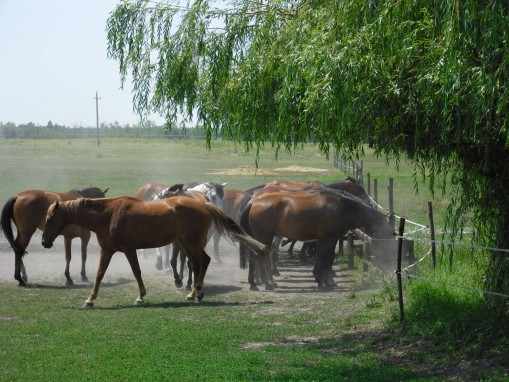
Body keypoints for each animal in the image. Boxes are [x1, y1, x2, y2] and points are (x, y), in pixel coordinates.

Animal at [41, 195, 264, 308]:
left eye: (50, 219)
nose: (44, 242)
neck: (108, 215)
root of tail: (202, 202)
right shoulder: (107, 250)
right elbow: (99, 275)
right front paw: (90, 299)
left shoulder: (129, 249)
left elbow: (136, 272)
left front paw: (140, 297)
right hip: (186, 243)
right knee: (197, 263)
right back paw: (194, 293)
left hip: (191, 243)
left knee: (204, 261)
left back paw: (196, 292)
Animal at [239, 187, 392, 290]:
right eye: (387, 235)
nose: (386, 258)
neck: (342, 208)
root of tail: (253, 202)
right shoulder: (327, 240)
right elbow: (324, 259)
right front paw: (322, 281)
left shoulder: (329, 240)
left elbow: (326, 259)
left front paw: (325, 280)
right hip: (265, 237)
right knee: (260, 257)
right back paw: (265, 283)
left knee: (255, 257)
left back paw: (255, 283)